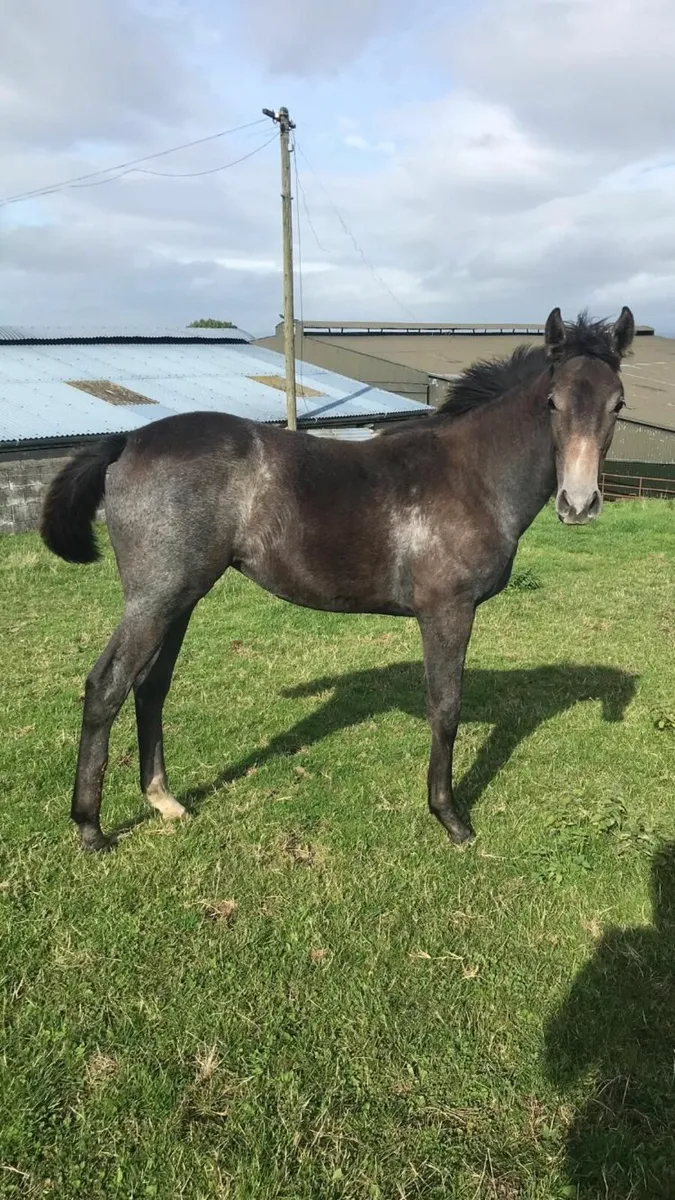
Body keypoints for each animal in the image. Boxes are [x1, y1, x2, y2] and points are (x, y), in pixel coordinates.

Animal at [40, 305, 635, 853]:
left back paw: (164, 800)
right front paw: (450, 818)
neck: (471, 476)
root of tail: (127, 441)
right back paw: (91, 829)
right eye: (553, 402)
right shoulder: (447, 611)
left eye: (618, 404)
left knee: (150, 687)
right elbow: (445, 708)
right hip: (155, 598)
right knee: (107, 686)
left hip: (180, 599)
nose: (578, 504)